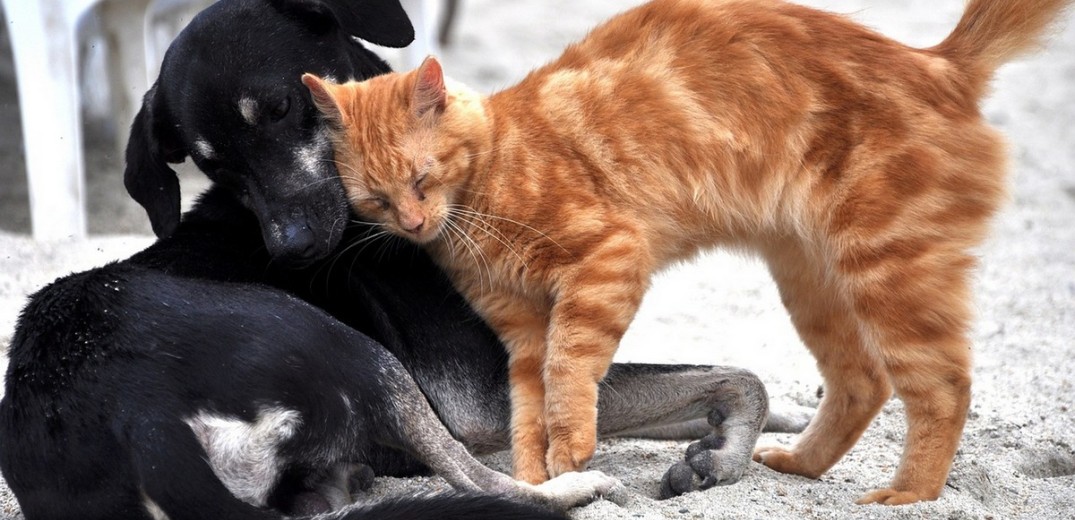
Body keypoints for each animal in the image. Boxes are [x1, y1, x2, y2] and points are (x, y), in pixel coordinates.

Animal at [0, 0, 808, 517]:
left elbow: (717, 381)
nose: (293, 249)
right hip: (357, 352)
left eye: (284, 109)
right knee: (487, 482)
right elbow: (737, 375)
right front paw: (723, 453)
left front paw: (784, 419)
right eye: (212, 167)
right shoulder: (485, 393)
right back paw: (577, 492)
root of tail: (127, 413)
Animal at [307, 0, 1070, 504]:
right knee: (862, 381)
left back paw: (908, 495)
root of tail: (938, 63)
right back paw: (800, 464)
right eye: (375, 199)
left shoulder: (606, 264)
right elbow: (530, 414)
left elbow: (569, 379)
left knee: (942, 386)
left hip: (887, 270)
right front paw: (545, 472)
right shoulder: (518, 336)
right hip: (813, 279)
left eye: (421, 179)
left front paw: (572, 454)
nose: (411, 223)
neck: (490, 180)